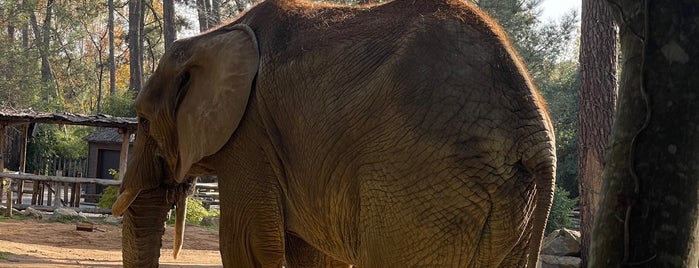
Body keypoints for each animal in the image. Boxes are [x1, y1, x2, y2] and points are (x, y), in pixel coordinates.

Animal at [110, 0, 556, 266]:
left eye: (143, 120)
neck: (216, 34)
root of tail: (536, 133)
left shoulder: (252, 138)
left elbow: (248, 246)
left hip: (425, 188)